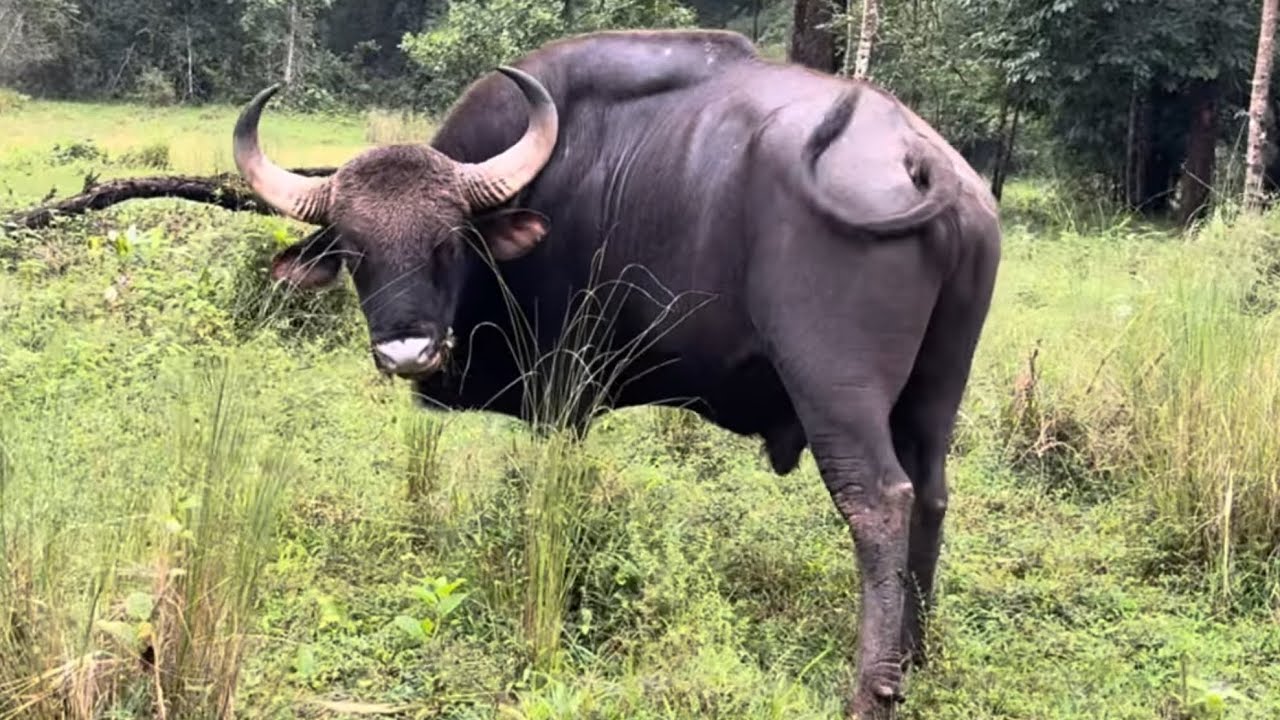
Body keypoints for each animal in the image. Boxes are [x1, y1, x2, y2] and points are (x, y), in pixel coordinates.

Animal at [232, 29, 1001, 719]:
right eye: (355, 251)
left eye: (447, 243)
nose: (406, 353)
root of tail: (917, 155)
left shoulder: (564, 395)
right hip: (935, 393)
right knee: (932, 494)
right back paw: (914, 654)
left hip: (834, 389)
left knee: (879, 499)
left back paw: (873, 687)